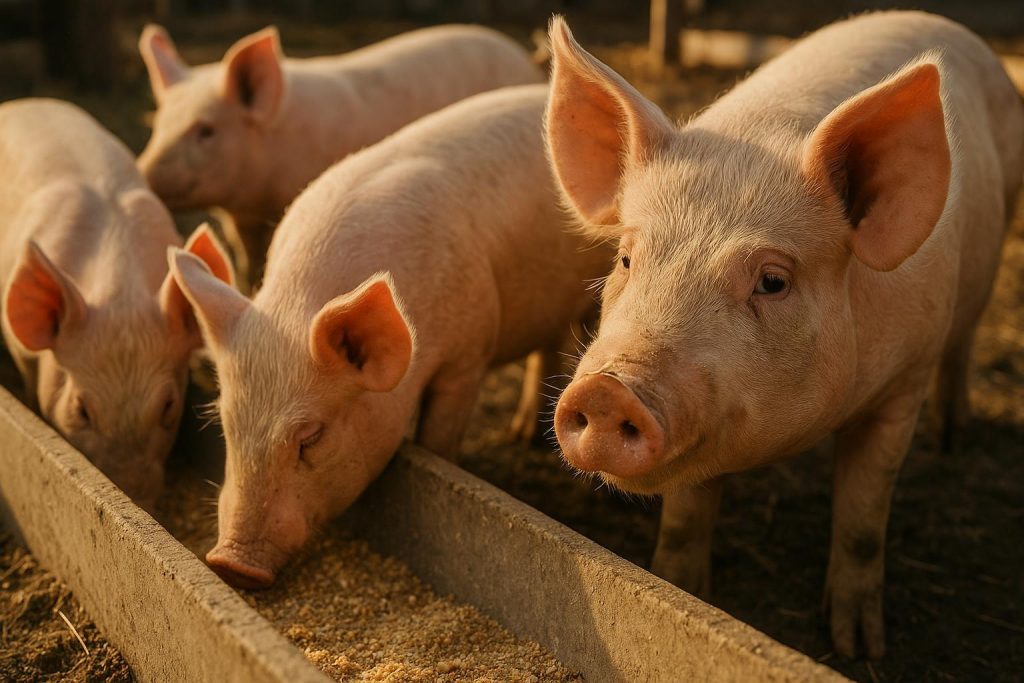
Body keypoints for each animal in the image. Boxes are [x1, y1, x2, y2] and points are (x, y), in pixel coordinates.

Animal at [0, 99, 234, 510]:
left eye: (168, 405)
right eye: (81, 409)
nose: (132, 491)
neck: (119, 298)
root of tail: (20, 103)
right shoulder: (22, 351)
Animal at [138, 23, 545, 289]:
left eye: (206, 130)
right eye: (158, 122)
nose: (144, 171)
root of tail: (521, 56)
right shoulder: (243, 220)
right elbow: (245, 262)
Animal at [167, 84, 611, 588]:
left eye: (310, 437)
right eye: (226, 425)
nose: (230, 563)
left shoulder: (467, 357)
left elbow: (439, 439)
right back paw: (520, 435)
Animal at [546, 12, 1024, 658]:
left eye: (772, 281)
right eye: (625, 259)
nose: (606, 390)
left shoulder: (904, 386)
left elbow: (863, 517)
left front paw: (858, 648)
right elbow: (687, 517)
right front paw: (681, 586)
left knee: (964, 346)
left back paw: (952, 439)